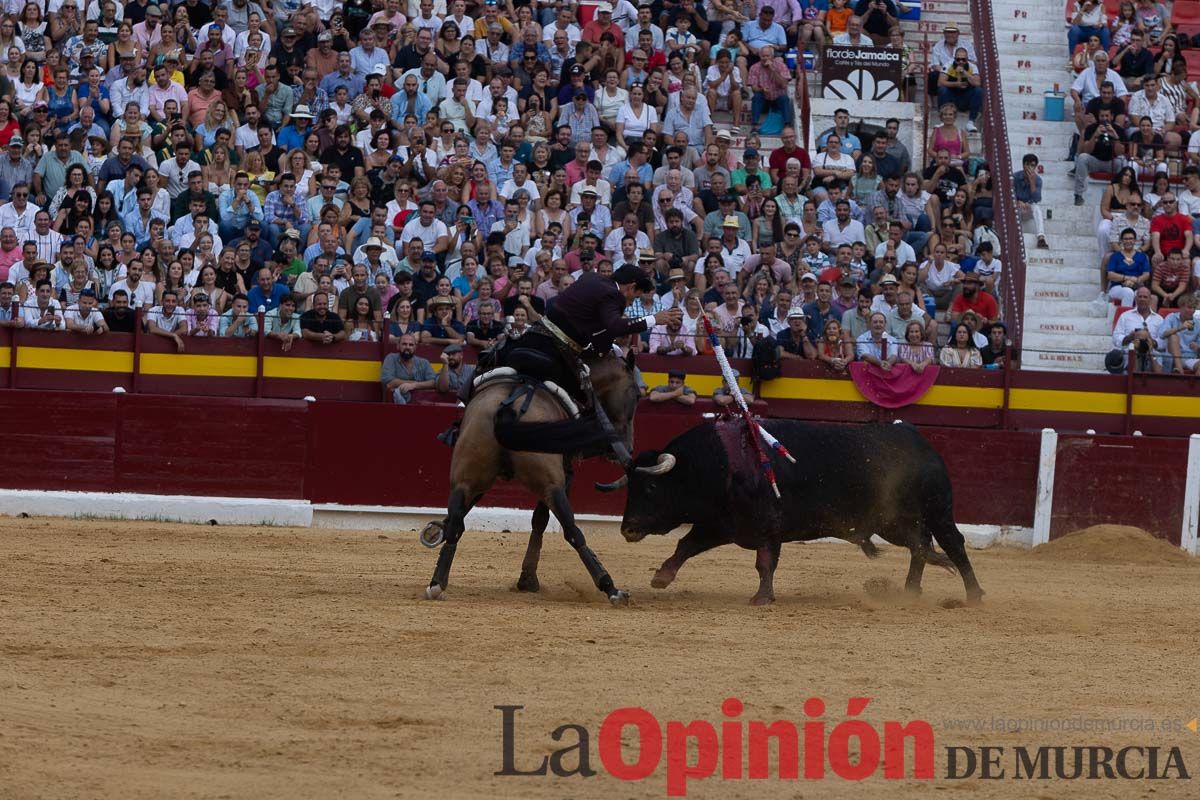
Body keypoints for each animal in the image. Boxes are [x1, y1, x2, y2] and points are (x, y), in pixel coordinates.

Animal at [424, 350, 643, 606]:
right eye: (637, 394)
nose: (626, 446)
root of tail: (508, 407)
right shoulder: (563, 477)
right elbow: (540, 519)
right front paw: (527, 580)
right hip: (552, 484)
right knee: (572, 530)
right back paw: (611, 588)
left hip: (466, 475)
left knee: (456, 524)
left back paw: (437, 582)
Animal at [609, 419, 984, 606]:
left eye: (650, 488)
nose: (627, 529)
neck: (715, 463)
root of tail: (922, 443)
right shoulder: (722, 525)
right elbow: (686, 545)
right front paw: (662, 576)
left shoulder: (767, 528)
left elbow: (764, 563)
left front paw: (762, 598)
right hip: (894, 521)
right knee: (919, 544)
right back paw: (909, 591)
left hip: (937, 508)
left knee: (952, 542)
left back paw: (974, 594)